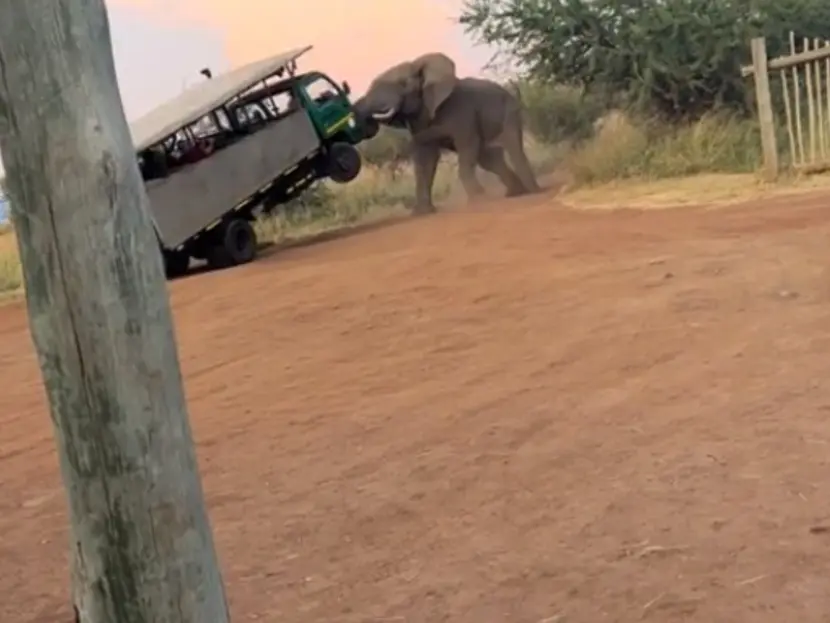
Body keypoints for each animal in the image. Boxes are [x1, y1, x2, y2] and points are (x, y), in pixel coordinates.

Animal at [353, 53, 541, 214]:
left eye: (402, 83)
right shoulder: (420, 122)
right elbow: (425, 159)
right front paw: (422, 212)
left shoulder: (462, 111)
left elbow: (467, 145)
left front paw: (478, 200)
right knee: (489, 158)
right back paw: (515, 193)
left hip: (509, 111)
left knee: (512, 147)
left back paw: (532, 191)